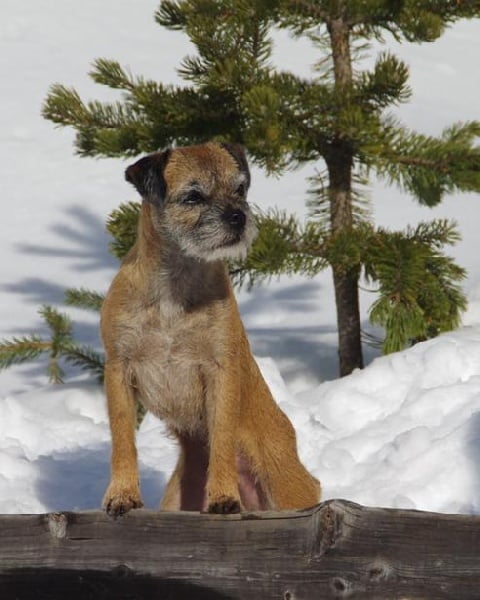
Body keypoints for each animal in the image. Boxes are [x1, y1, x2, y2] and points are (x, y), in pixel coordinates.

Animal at [101, 141, 320, 516]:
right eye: (193, 197)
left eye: (240, 189)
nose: (238, 216)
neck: (174, 293)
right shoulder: (118, 369)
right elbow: (122, 440)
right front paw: (122, 494)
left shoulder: (220, 370)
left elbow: (221, 439)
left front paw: (223, 497)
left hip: (287, 485)